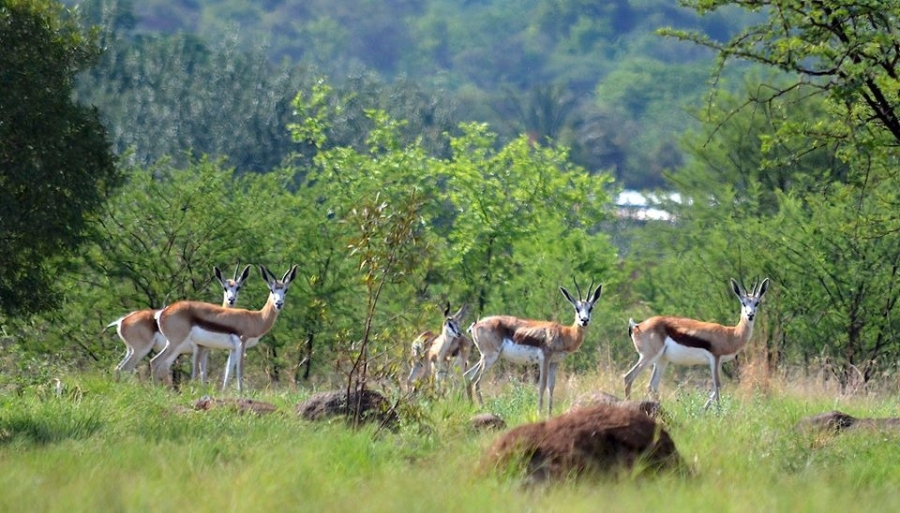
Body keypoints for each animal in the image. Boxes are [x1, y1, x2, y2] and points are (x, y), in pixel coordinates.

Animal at [109, 266, 251, 378]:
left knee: (119, 369)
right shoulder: (197, 349)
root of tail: (122, 321)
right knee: (128, 368)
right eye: (225, 287)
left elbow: (203, 374)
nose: (231, 300)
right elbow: (197, 373)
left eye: (238, 287)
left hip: (132, 350)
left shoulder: (204, 350)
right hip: (144, 349)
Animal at [151, 264, 298, 392]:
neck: (255, 318)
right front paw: (241, 393)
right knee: (155, 362)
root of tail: (163, 312)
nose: (278, 303)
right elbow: (240, 371)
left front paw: (223, 393)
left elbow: (228, 372)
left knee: (161, 365)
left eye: (285, 290)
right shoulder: (242, 343)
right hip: (175, 343)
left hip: (176, 346)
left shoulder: (232, 349)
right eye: (272, 290)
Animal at [464, 280, 604, 416]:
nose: (584, 320)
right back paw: (483, 408)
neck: (565, 333)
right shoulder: (545, 359)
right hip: (490, 357)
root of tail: (476, 325)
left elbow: (551, 386)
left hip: (487, 357)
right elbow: (542, 385)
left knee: (467, 375)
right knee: (475, 380)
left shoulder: (554, 362)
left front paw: (549, 414)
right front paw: (539, 413)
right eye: (577, 308)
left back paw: (471, 407)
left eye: (590, 308)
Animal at [624, 276, 768, 408]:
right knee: (628, 377)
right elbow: (717, 385)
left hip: (661, 360)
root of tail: (636, 325)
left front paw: (703, 411)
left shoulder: (719, 362)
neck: (730, 334)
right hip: (648, 357)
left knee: (652, 385)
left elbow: (719, 387)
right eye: (743, 303)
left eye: (757, 303)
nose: (750, 315)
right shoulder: (715, 359)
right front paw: (718, 413)